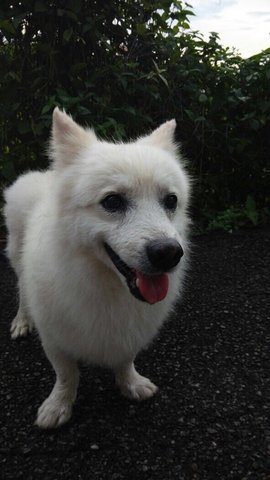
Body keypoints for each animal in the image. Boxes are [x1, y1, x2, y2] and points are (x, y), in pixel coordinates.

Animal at [3, 109, 190, 428]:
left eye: (171, 201)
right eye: (112, 201)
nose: (168, 253)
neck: (104, 283)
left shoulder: (129, 332)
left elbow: (125, 359)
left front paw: (131, 384)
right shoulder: (54, 336)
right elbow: (66, 374)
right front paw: (59, 406)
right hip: (17, 258)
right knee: (21, 292)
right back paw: (21, 321)